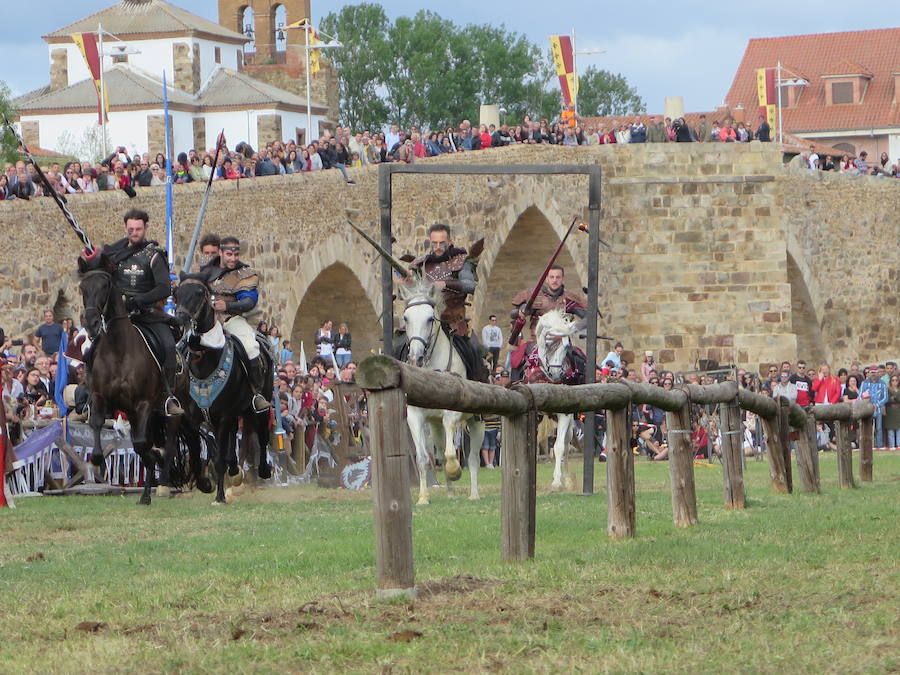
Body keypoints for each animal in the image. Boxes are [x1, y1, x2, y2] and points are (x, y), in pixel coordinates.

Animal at [77, 256, 211, 504]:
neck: (118, 350)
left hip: (175, 407)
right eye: (83, 288)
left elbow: (143, 445)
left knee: (180, 438)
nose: (91, 323)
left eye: (105, 286)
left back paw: (175, 482)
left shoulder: (144, 403)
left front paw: (157, 461)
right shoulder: (101, 399)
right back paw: (147, 494)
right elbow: (100, 439)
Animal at [174, 278, 272, 504]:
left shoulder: (223, 416)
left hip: (260, 405)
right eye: (177, 292)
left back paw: (262, 470)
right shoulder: (194, 418)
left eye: (199, 293)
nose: (181, 317)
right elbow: (197, 450)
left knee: (262, 435)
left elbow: (218, 458)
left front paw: (219, 497)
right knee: (234, 442)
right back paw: (235, 472)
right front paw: (204, 483)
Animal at [400, 278, 486, 504]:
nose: (416, 358)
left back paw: (473, 494)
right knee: (439, 451)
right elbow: (423, 458)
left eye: (430, 318)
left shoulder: (452, 413)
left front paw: (455, 471)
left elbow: (451, 453)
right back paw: (450, 492)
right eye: (406, 318)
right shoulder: (415, 416)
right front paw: (423, 497)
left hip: (477, 422)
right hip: (434, 424)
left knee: (472, 459)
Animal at [528, 310, 584, 492]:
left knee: (565, 445)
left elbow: (559, 447)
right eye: (549, 342)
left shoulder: (565, 414)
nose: (556, 373)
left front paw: (557, 482)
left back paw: (566, 479)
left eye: (567, 346)